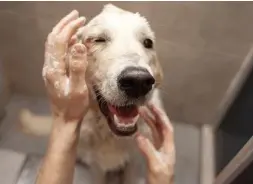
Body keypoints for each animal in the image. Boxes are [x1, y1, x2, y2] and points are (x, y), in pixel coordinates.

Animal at [20, 3, 165, 183]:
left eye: (147, 42)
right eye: (99, 39)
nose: (138, 81)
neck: (109, 136)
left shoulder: (134, 161)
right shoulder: (96, 165)